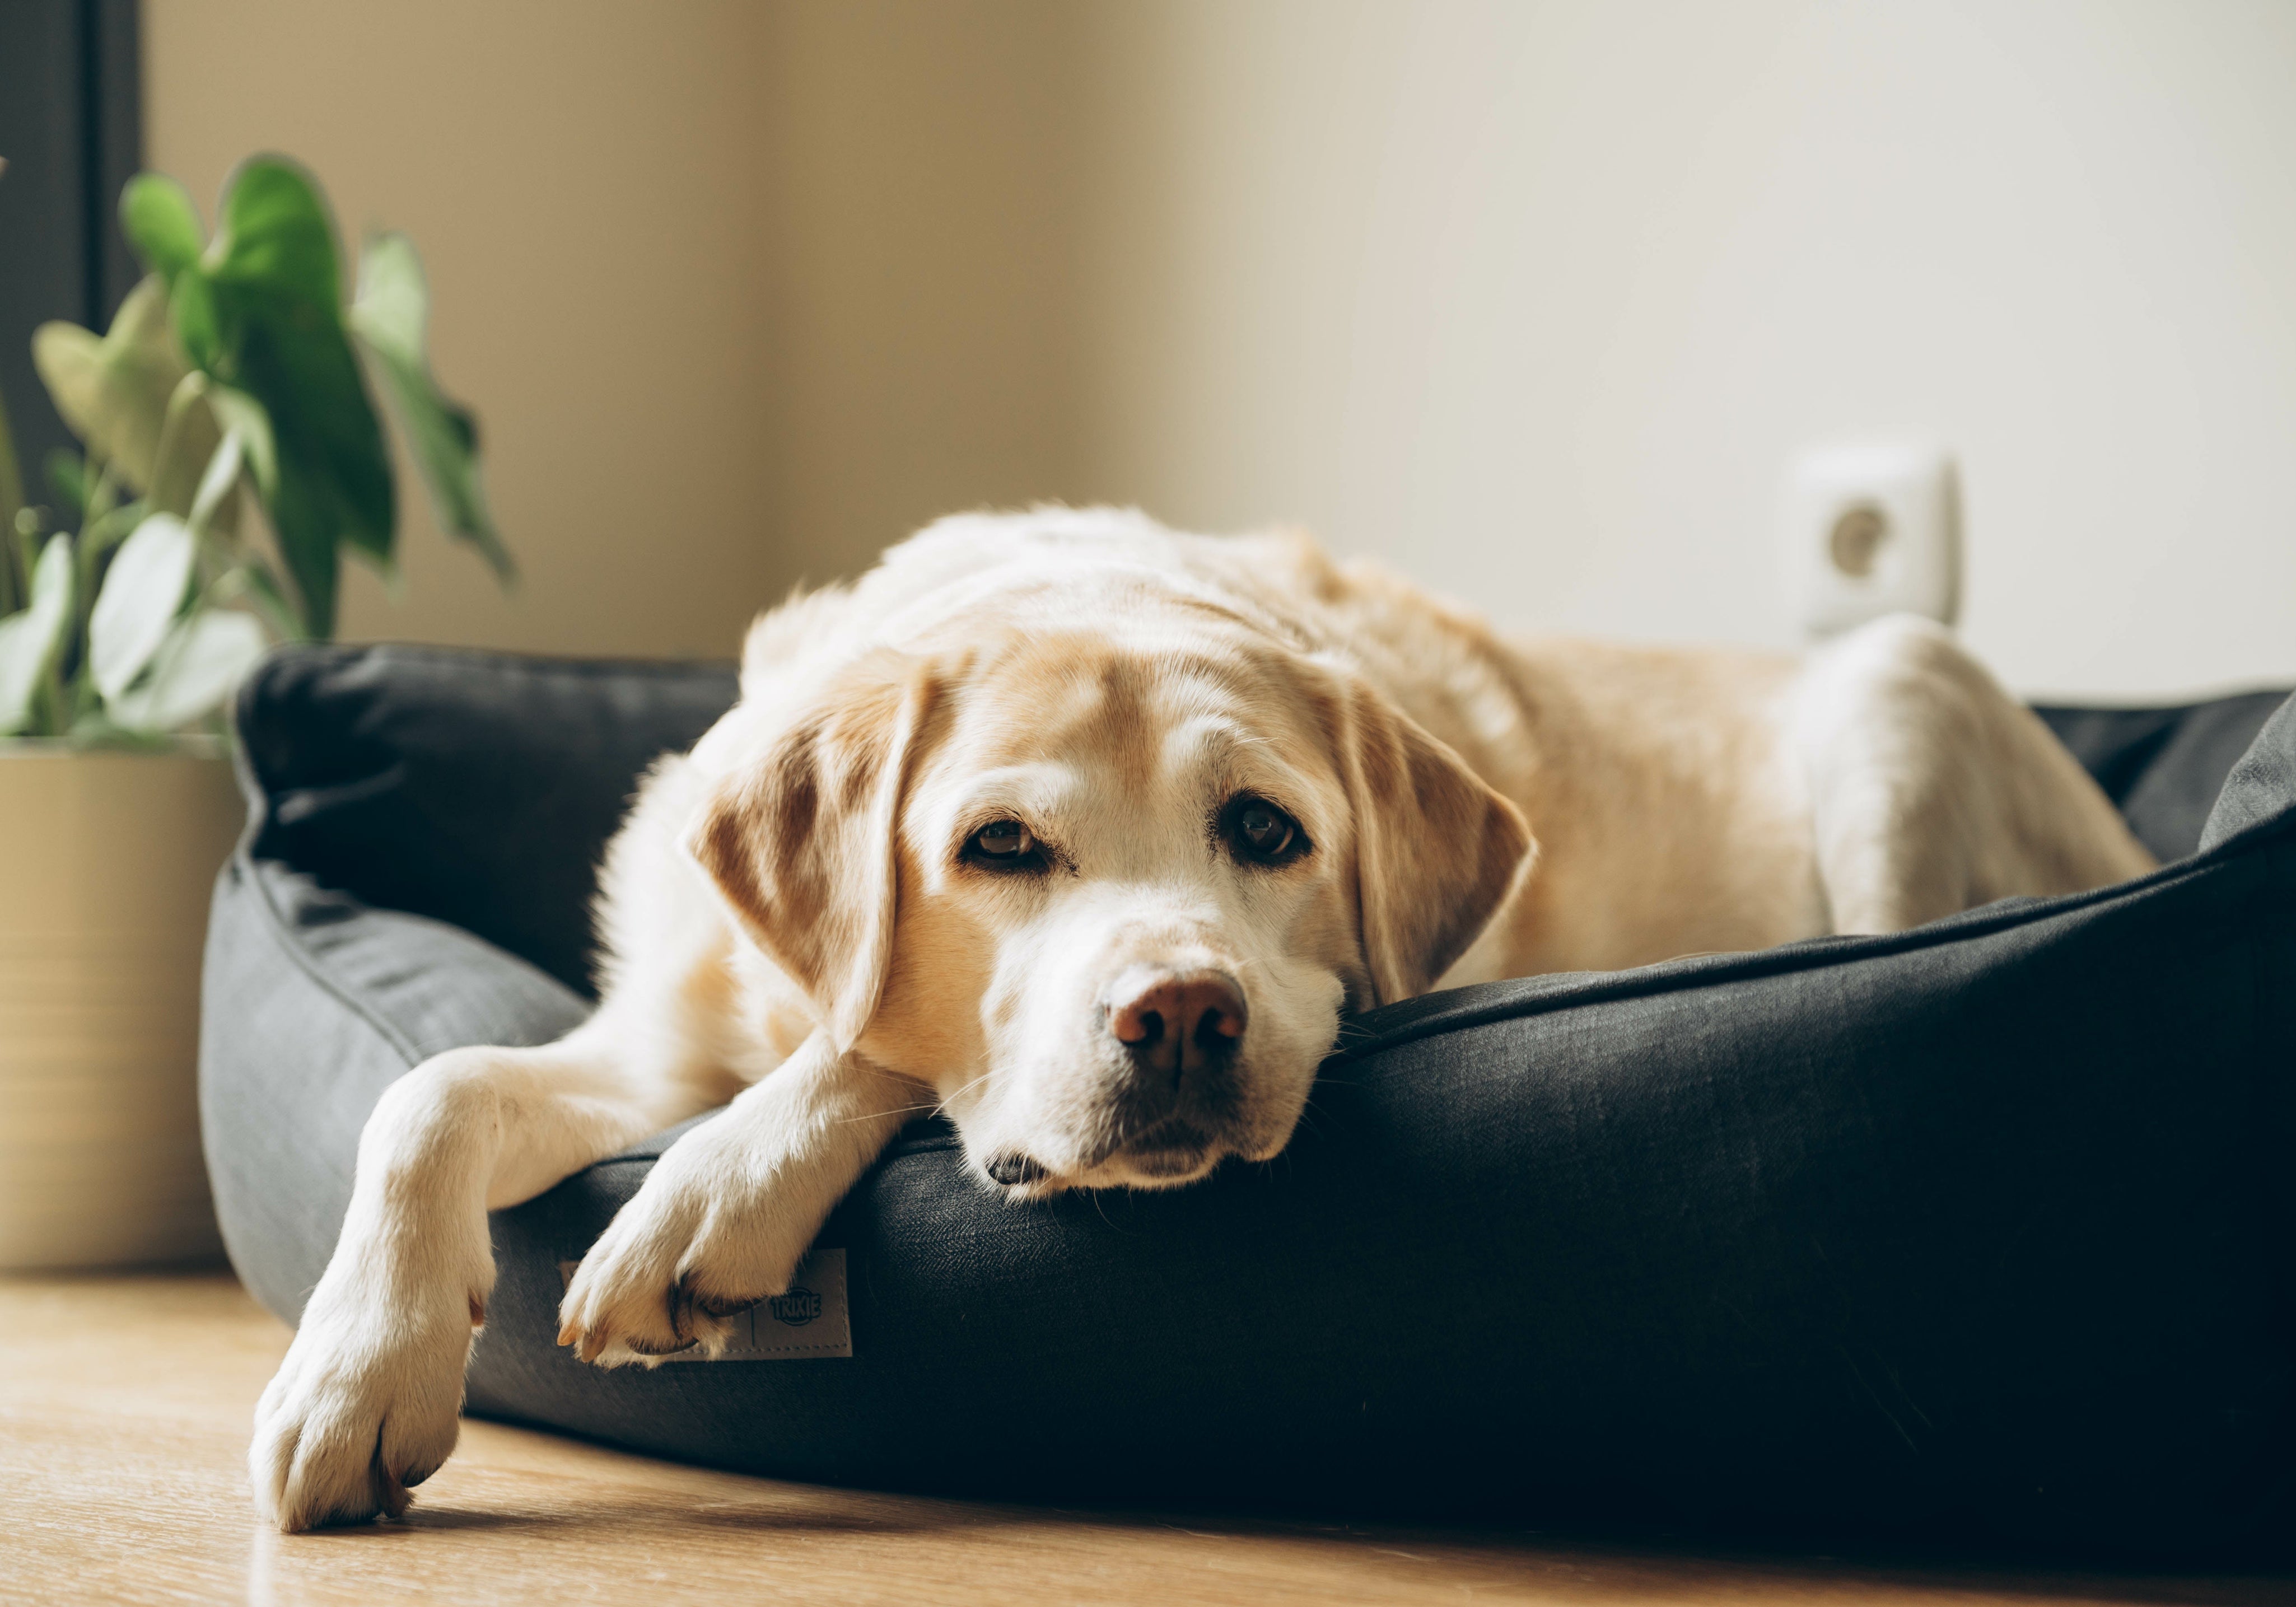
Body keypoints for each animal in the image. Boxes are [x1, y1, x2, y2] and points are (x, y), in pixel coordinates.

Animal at [251, 505, 2149, 1533]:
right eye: (999, 847)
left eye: (1265, 830)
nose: (1176, 1014)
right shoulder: (653, 1035)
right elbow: (428, 1090)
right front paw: (353, 1368)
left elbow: (871, 1047)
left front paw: (711, 1192)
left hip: (1897, 681)